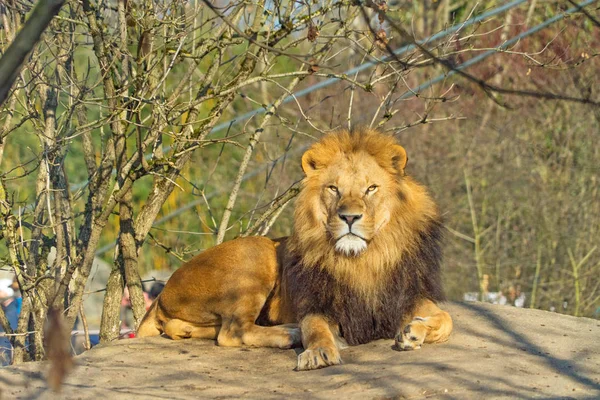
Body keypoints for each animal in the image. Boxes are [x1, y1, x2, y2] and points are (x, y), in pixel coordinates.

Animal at [138, 130, 452, 370]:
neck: (363, 260)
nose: (349, 217)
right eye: (334, 189)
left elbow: (446, 319)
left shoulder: (404, 296)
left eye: (371, 188)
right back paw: (290, 333)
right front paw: (318, 352)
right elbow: (315, 329)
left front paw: (414, 332)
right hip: (257, 251)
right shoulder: (317, 303)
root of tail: (162, 293)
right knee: (232, 332)